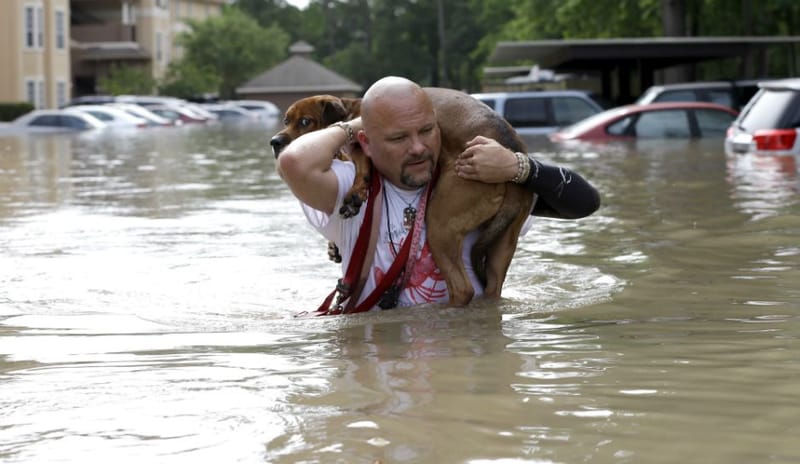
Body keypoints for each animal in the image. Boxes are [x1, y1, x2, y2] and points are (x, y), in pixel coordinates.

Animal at [272, 87, 536, 306]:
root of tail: (511, 151)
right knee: (492, 286)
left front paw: (356, 194)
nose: (275, 142)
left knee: (463, 289)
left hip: (440, 224)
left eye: (305, 121)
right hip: (503, 243)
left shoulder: (358, 145)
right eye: (286, 120)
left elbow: (361, 160)